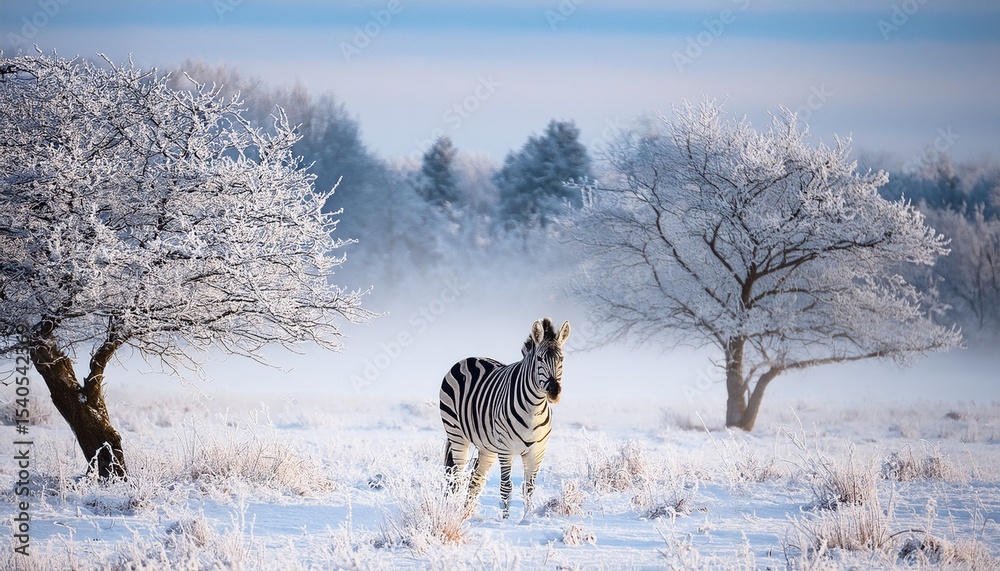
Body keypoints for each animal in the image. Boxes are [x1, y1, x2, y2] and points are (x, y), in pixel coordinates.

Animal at [439, 317, 571, 520]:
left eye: (561, 359)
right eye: (540, 359)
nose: (554, 392)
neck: (534, 408)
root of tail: (470, 359)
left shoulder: (537, 451)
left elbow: (529, 488)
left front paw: (526, 519)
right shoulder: (506, 448)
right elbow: (506, 487)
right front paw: (505, 521)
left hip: (487, 447)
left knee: (475, 480)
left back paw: (467, 514)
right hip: (457, 434)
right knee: (457, 478)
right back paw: (453, 512)